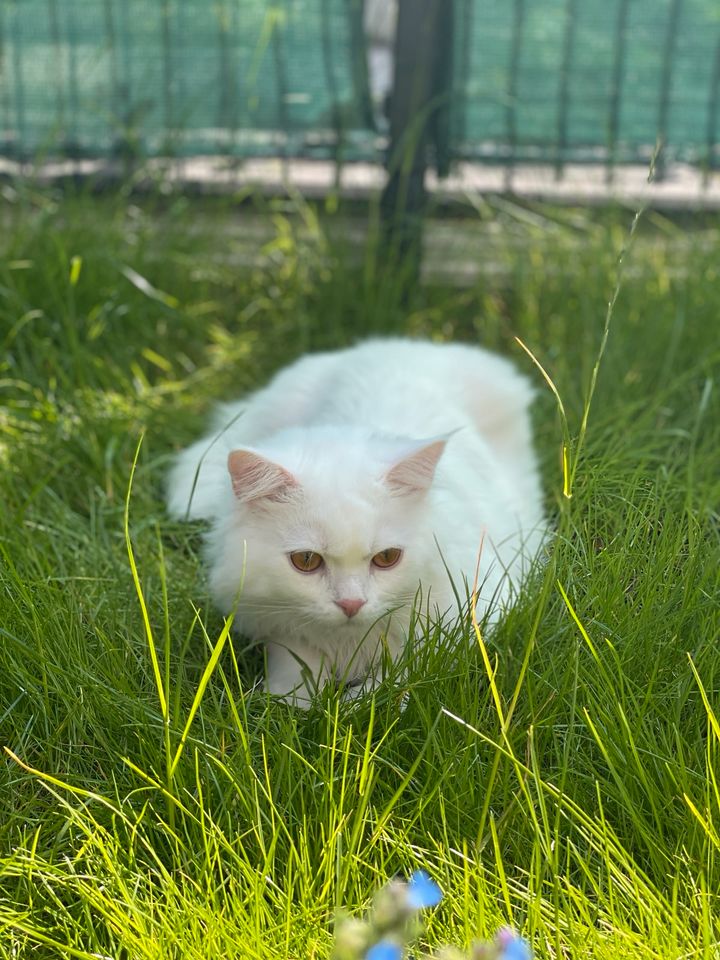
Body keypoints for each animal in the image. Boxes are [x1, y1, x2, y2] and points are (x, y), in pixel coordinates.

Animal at [166, 342, 544, 700]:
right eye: (306, 561)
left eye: (387, 558)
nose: (351, 604)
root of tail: (402, 345)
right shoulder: (276, 624)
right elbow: (295, 673)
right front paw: (294, 705)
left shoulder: (467, 615)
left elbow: (399, 681)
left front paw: (352, 705)